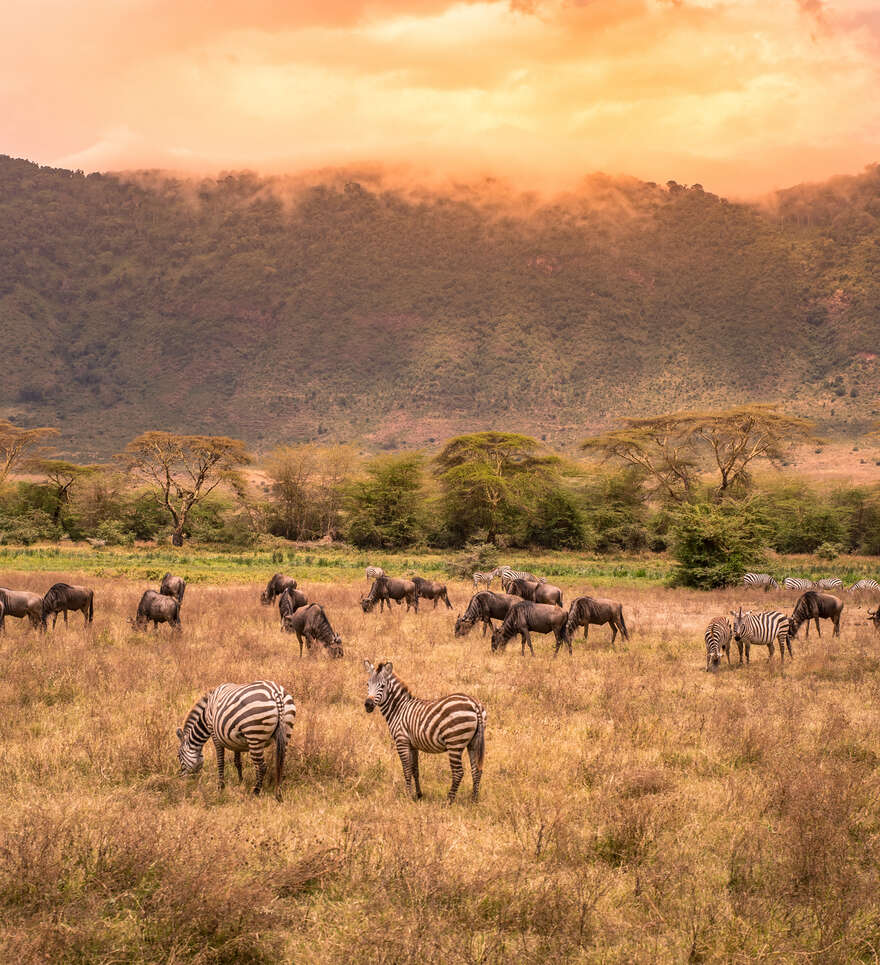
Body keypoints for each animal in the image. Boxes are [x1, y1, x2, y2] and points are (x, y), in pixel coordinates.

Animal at [364, 660, 488, 804]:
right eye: (367, 684)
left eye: (382, 686)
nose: (368, 704)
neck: (399, 709)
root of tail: (474, 704)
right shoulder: (413, 745)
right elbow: (415, 770)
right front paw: (418, 795)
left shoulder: (401, 741)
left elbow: (406, 769)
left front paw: (408, 796)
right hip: (474, 742)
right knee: (477, 770)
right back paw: (474, 800)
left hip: (454, 742)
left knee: (458, 772)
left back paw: (449, 801)